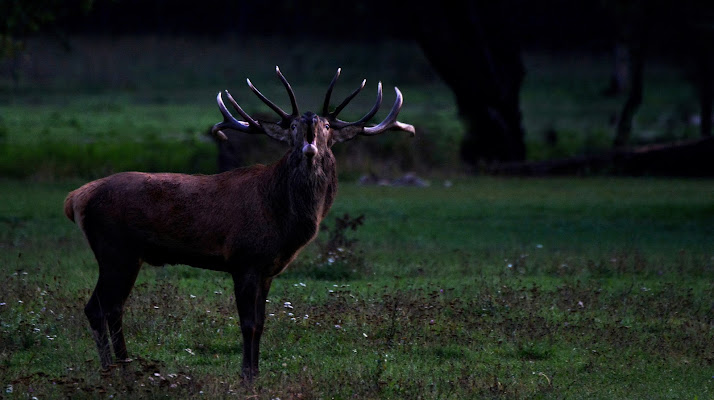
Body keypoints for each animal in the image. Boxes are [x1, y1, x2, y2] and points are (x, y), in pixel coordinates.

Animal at [65, 67, 418, 382]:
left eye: (328, 125)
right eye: (293, 126)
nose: (309, 141)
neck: (284, 220)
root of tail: (76, 198)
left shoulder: (267, 268)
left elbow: (261, 323)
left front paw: (256, 374)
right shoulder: (243, 259)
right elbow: (247, 323)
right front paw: (246, 377)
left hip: (126, 255)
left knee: (112, 308)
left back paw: (123, 368)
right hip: (115, 249)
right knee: (99, 307)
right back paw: (112, 371)